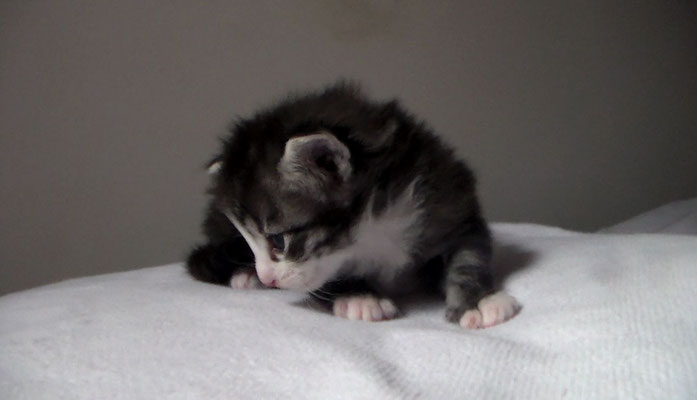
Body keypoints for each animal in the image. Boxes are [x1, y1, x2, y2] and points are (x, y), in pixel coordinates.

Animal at [185, 83, 516, 330]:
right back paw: (245, 276)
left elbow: (469, 256)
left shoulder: (450, 199)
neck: (375, 229)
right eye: (247, 241)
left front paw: (478, 301)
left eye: (278, 240)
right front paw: (361, 297)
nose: (268, 277)